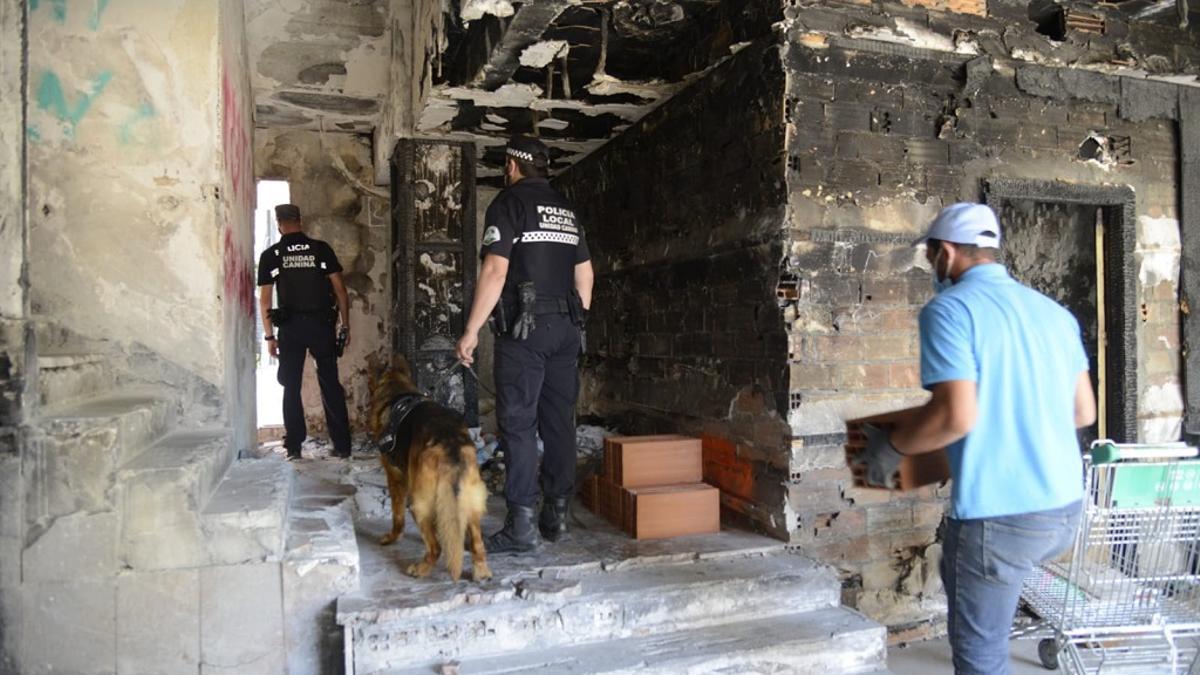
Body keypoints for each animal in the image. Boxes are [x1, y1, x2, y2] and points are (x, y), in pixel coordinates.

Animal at [369, 357, 492, 578]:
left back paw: (421, 569)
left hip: (418, 503)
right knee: (477, 543)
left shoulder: (395, 477)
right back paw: (481, 571)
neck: (396, 389)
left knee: (436, 548)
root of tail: (450, 444)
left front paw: (392, 537)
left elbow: (397, 516)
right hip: (471, 500)